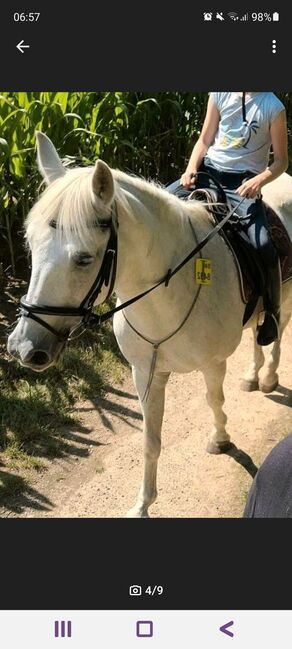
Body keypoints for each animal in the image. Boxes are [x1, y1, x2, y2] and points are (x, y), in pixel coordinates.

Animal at [6, 133, 292, 516]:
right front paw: (142, 504)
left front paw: (220, 439)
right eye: (30, 246)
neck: (169, 293)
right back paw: (252, 375)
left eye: (83, 259)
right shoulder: (146, 372)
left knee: (276, 332)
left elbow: (214, 400)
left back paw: (269, 376)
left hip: (284, 297)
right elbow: (150, 441)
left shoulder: (213, 363)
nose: (24, 348)